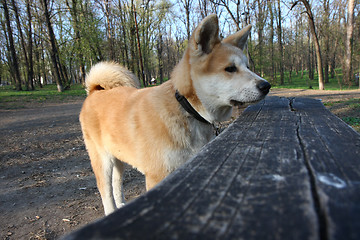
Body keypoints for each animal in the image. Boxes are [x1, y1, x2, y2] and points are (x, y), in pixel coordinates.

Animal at [79, 14, 270, 215]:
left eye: (247, 66)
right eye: (230, 68)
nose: (266, 85)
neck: (186, 108)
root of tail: (95, 91)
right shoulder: (157, 175)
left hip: (118, 157)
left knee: (117, 183)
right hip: (102, 160)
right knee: (105, 190)